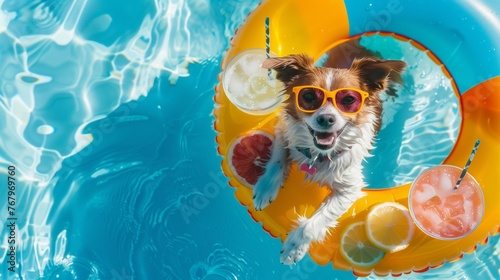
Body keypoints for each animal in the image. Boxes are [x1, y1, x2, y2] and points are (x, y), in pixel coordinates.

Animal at [252, 40, 408, 264]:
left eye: (349, 100)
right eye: (308, 96)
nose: (326, 118)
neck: (317, 154)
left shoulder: (349, 188)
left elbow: (313, 223)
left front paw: (294, 247)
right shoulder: (284, 130)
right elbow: (278, 158)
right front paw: (266, 187)